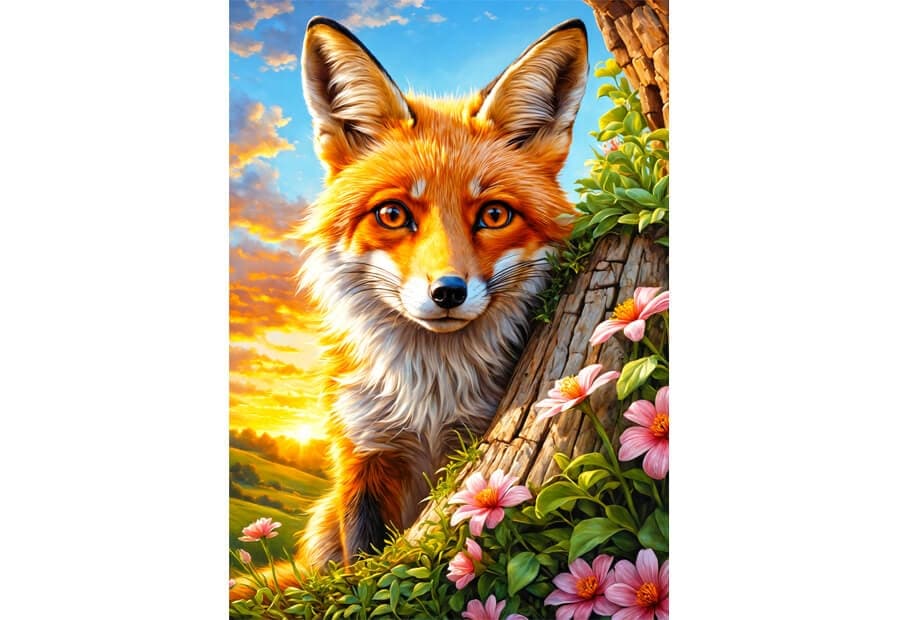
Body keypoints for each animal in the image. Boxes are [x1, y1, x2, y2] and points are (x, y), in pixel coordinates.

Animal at [232, 15, 588, 596]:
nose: (448, 292)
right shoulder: (364, 457)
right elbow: (362, 569)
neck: (431, 400)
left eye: (494, 214)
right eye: (393, 214)